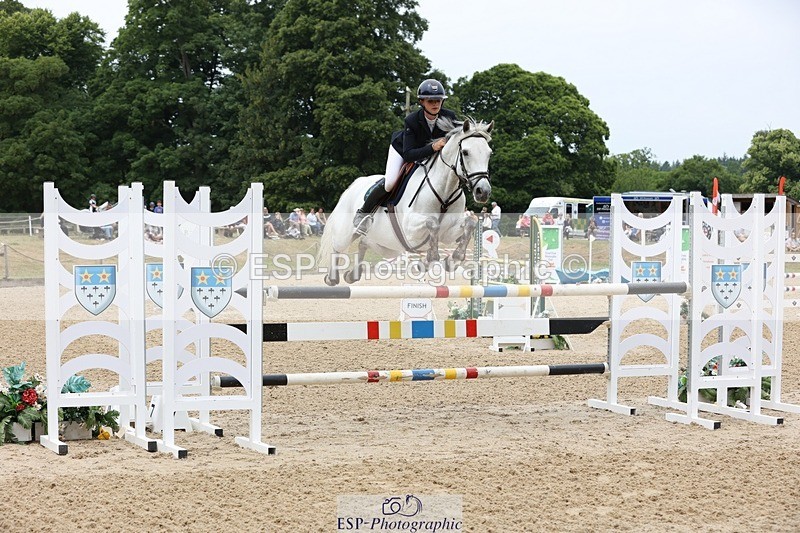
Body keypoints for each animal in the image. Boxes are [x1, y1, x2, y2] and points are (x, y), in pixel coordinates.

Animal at [318, 117, 494, 285]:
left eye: (489, 153)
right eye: (465, 152)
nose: (483, 192)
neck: (445, 191)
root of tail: (355, 185)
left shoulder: (448, 232)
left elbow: (470, 222)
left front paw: (451, 260)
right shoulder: (410, 230)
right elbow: (433, 223)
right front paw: (431, 258)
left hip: (387, 246)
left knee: (364, 243)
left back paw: (353, 275)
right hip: (346, 233)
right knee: (337, 246)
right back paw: (332, 278)